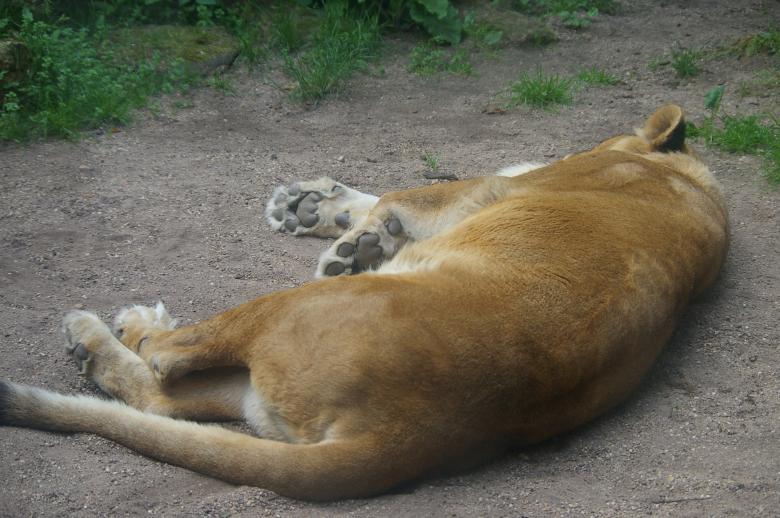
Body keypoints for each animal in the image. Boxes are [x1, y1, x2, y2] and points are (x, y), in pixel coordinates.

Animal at [0, 105, 728, 500]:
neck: (692, 188)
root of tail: (405, 434)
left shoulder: (486, 190)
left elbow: (401, 193)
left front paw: (350, 232)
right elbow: (377, 198)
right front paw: (315, 212)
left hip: (282, 311)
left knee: (162, 363)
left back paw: (116, 326)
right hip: (256, 398)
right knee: (157, 399)